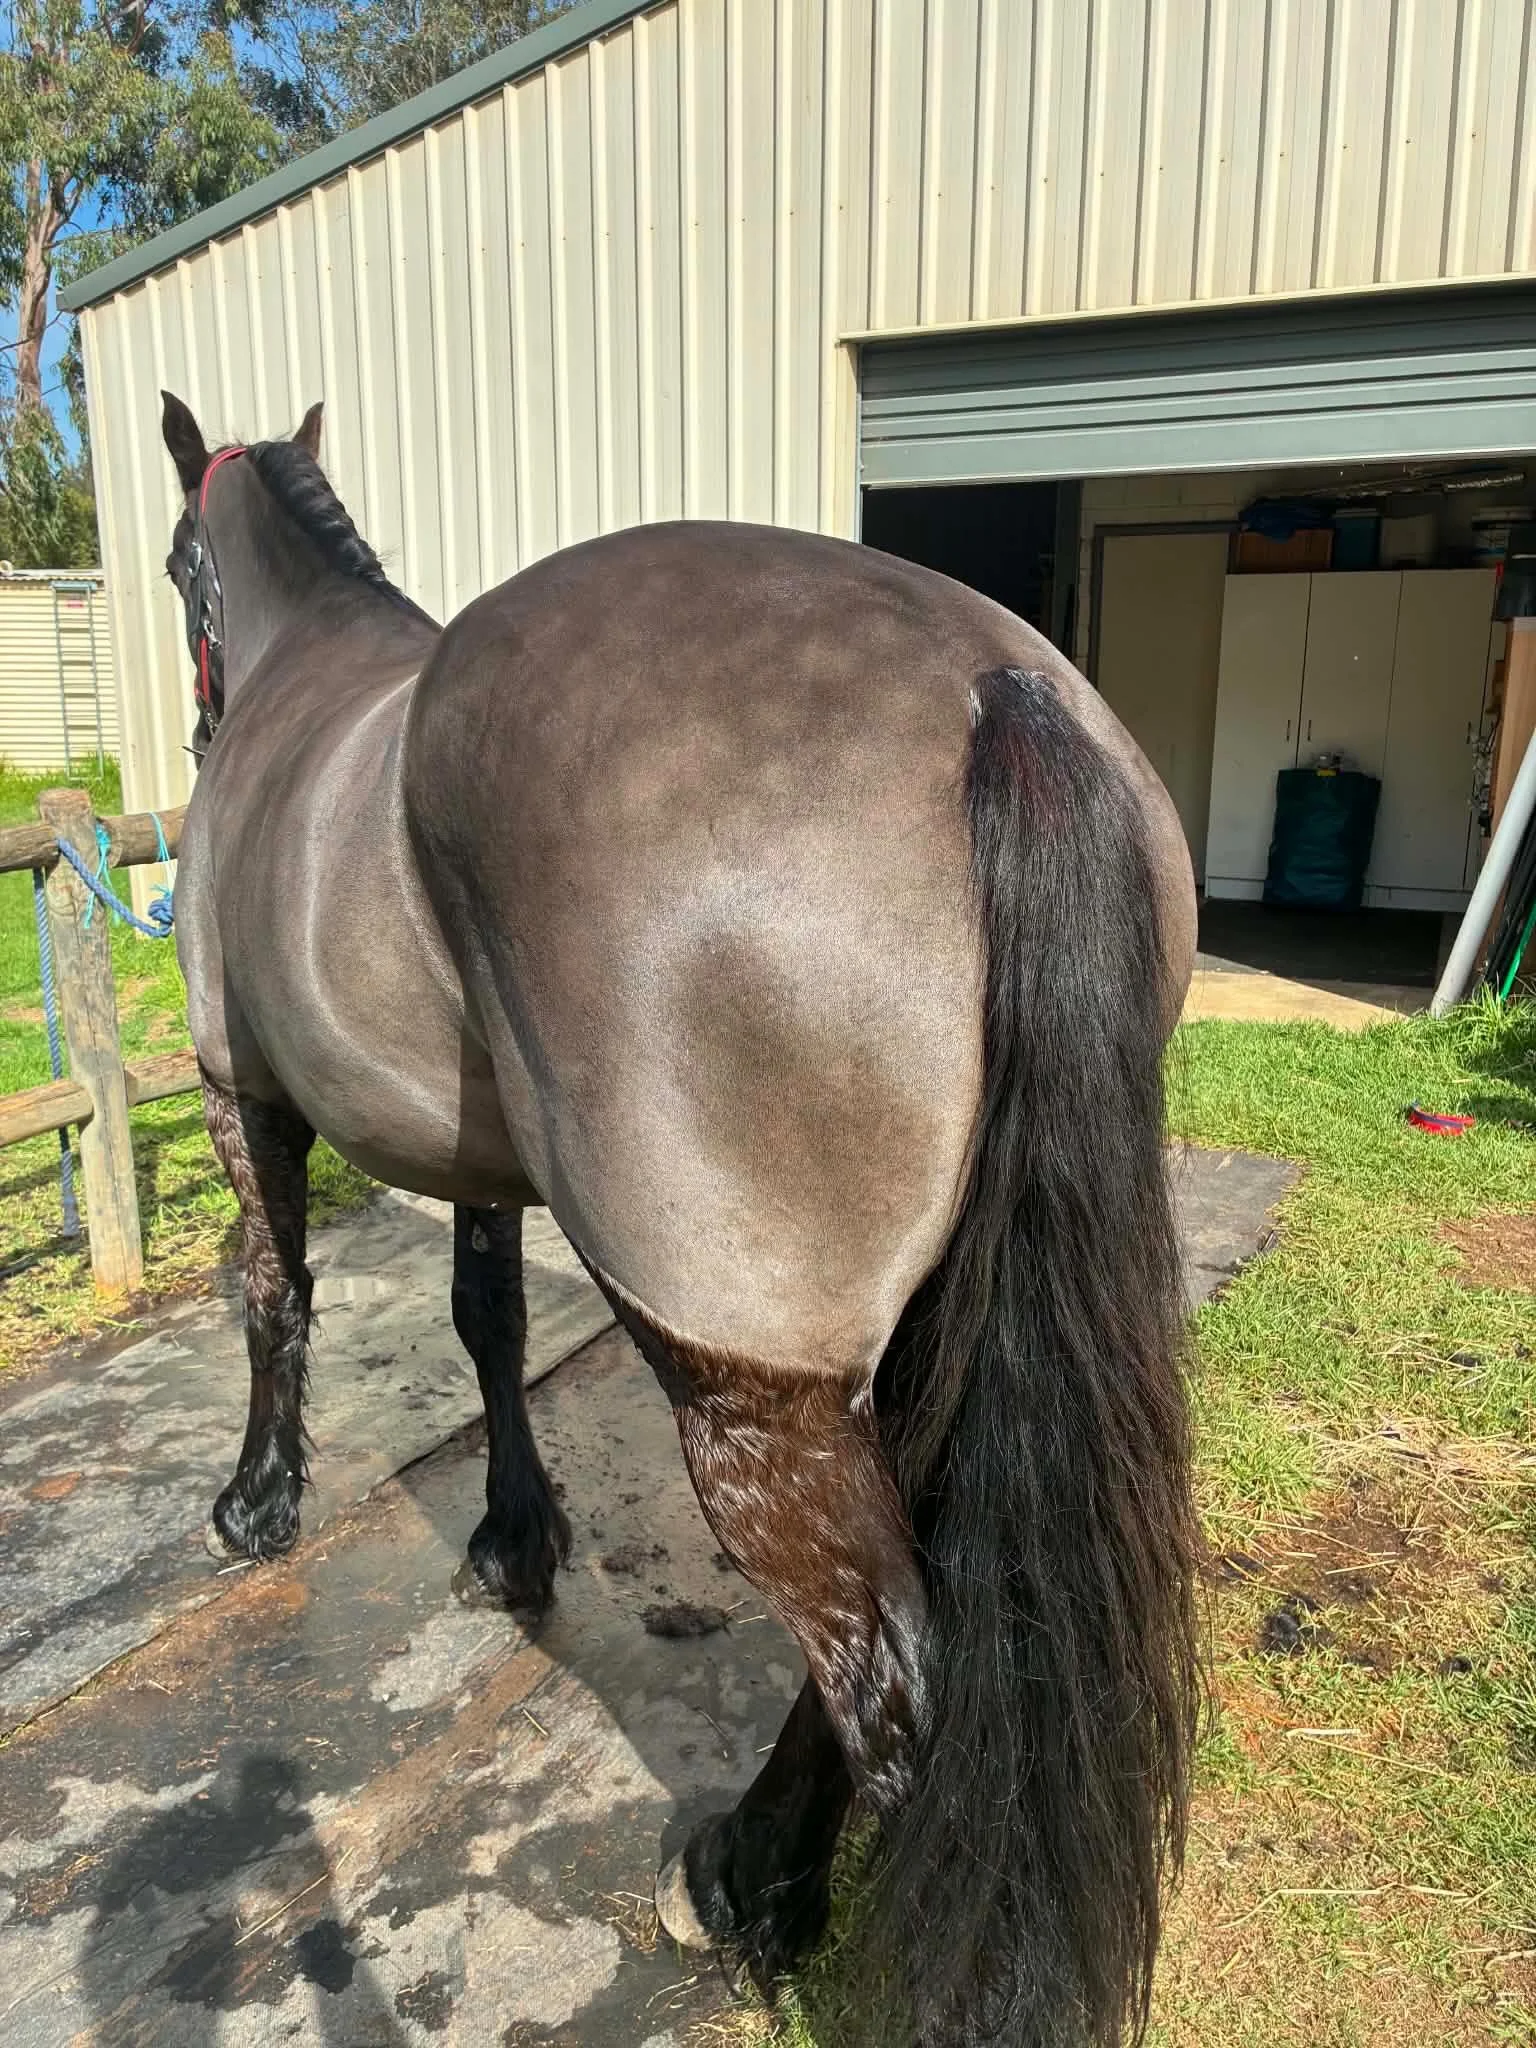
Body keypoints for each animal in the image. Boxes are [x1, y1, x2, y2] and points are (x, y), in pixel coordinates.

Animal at [158, 388, 1200, 2047]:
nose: (195, 722)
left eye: (182, 567)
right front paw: (517, 1539)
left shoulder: (233, 1083)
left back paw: (764, 1893)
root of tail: (1000, 690)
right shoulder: (481, 1159)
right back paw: (749, 1862)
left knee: (890, 1676)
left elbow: (274, 1295)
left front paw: (257, 1504)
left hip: (743, 1374)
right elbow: (487, 1321)